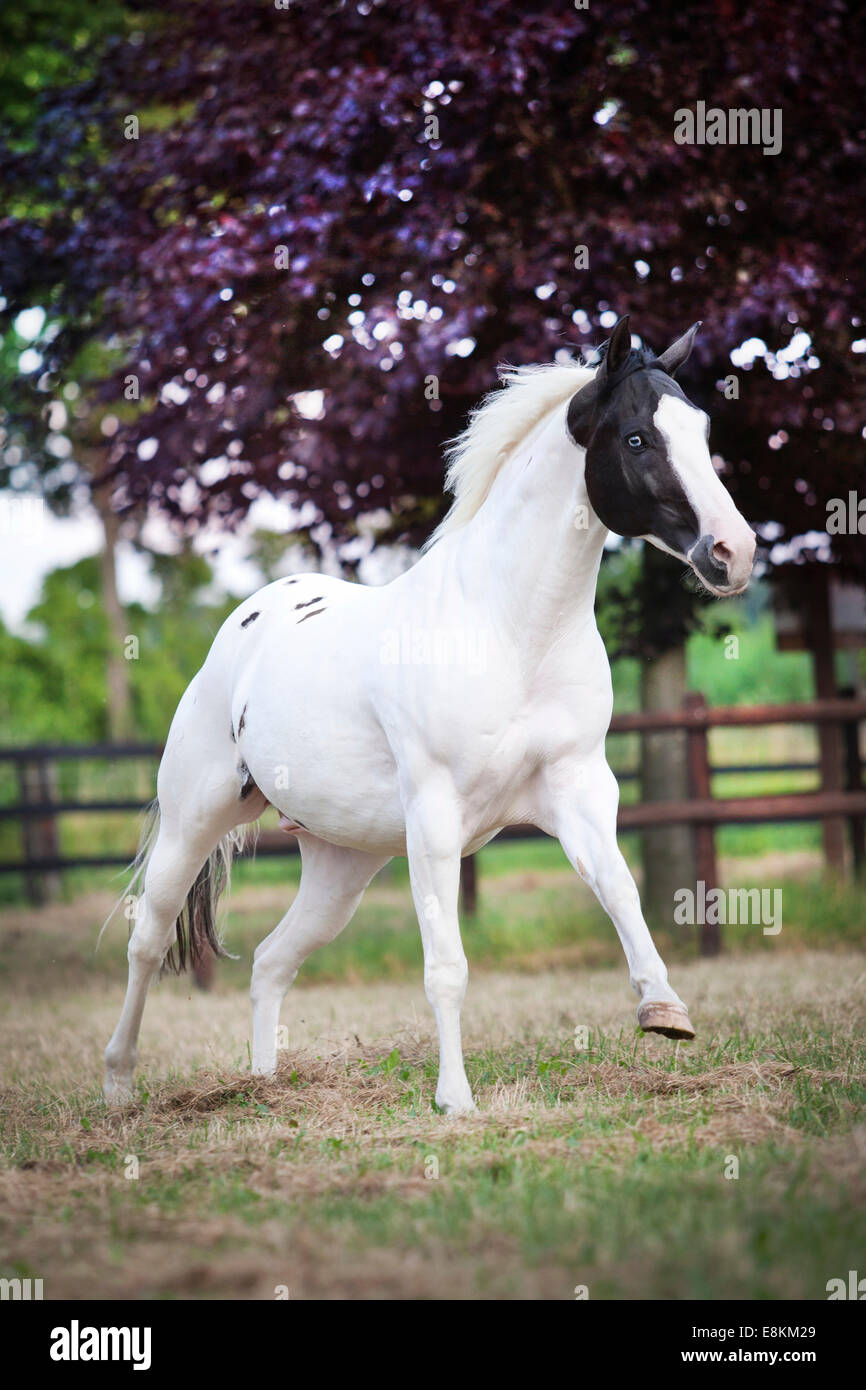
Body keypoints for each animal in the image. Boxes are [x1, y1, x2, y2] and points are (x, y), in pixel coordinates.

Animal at [104, 315, 756, 1113]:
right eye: (636, 439)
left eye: (701, 427)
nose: (734, 552)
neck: (509, 630)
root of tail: (241, 629)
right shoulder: (437, 820)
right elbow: (447, 966)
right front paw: (456, 1100)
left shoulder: (579, 790)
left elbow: (621, 891)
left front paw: (664, 1010)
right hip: (195, 821)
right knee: (147, 940)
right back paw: (120, 1087)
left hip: (339, 867)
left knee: (270, 960)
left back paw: (263, 1084)